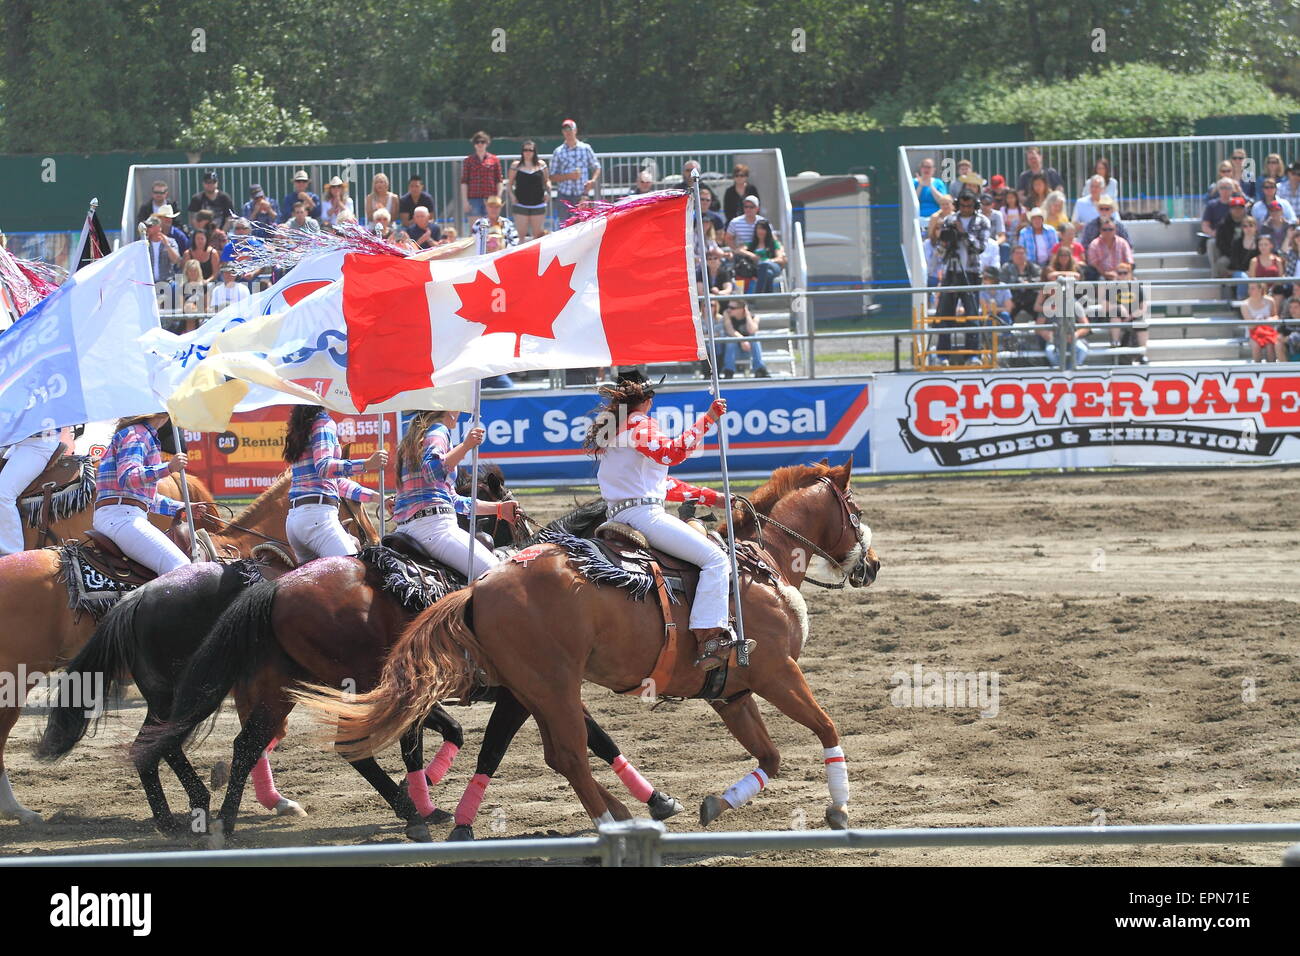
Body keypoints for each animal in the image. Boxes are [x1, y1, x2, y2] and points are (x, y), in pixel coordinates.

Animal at [293, 455, 878, 832]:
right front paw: (840, 808)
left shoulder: (730, 692)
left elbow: (771, 757)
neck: (758, 563)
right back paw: (606, 821)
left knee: (559, 753)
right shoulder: (778, 672)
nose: (871, 564)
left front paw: (717, 802)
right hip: (552, 686)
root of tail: (481, 586)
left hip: (538, 690)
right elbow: (826, 727)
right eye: (856, 508)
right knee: (571, 754)